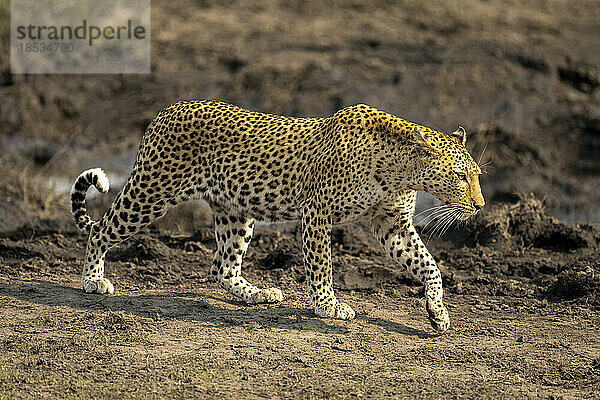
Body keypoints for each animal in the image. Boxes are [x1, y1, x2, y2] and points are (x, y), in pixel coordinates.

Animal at [70, 100, 486, 332]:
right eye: (461, 176)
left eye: (476, 175)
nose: (481, 206)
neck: (400, 170)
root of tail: (164, 111)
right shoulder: (318, 212)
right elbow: (321, 266)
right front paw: (328, 306)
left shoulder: (392, 224)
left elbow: (429, 266)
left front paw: (437, 313)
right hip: (151, 192)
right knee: (100, 230)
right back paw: (93, 280)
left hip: (235, 211)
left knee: (223, 266)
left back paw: (257, 294)